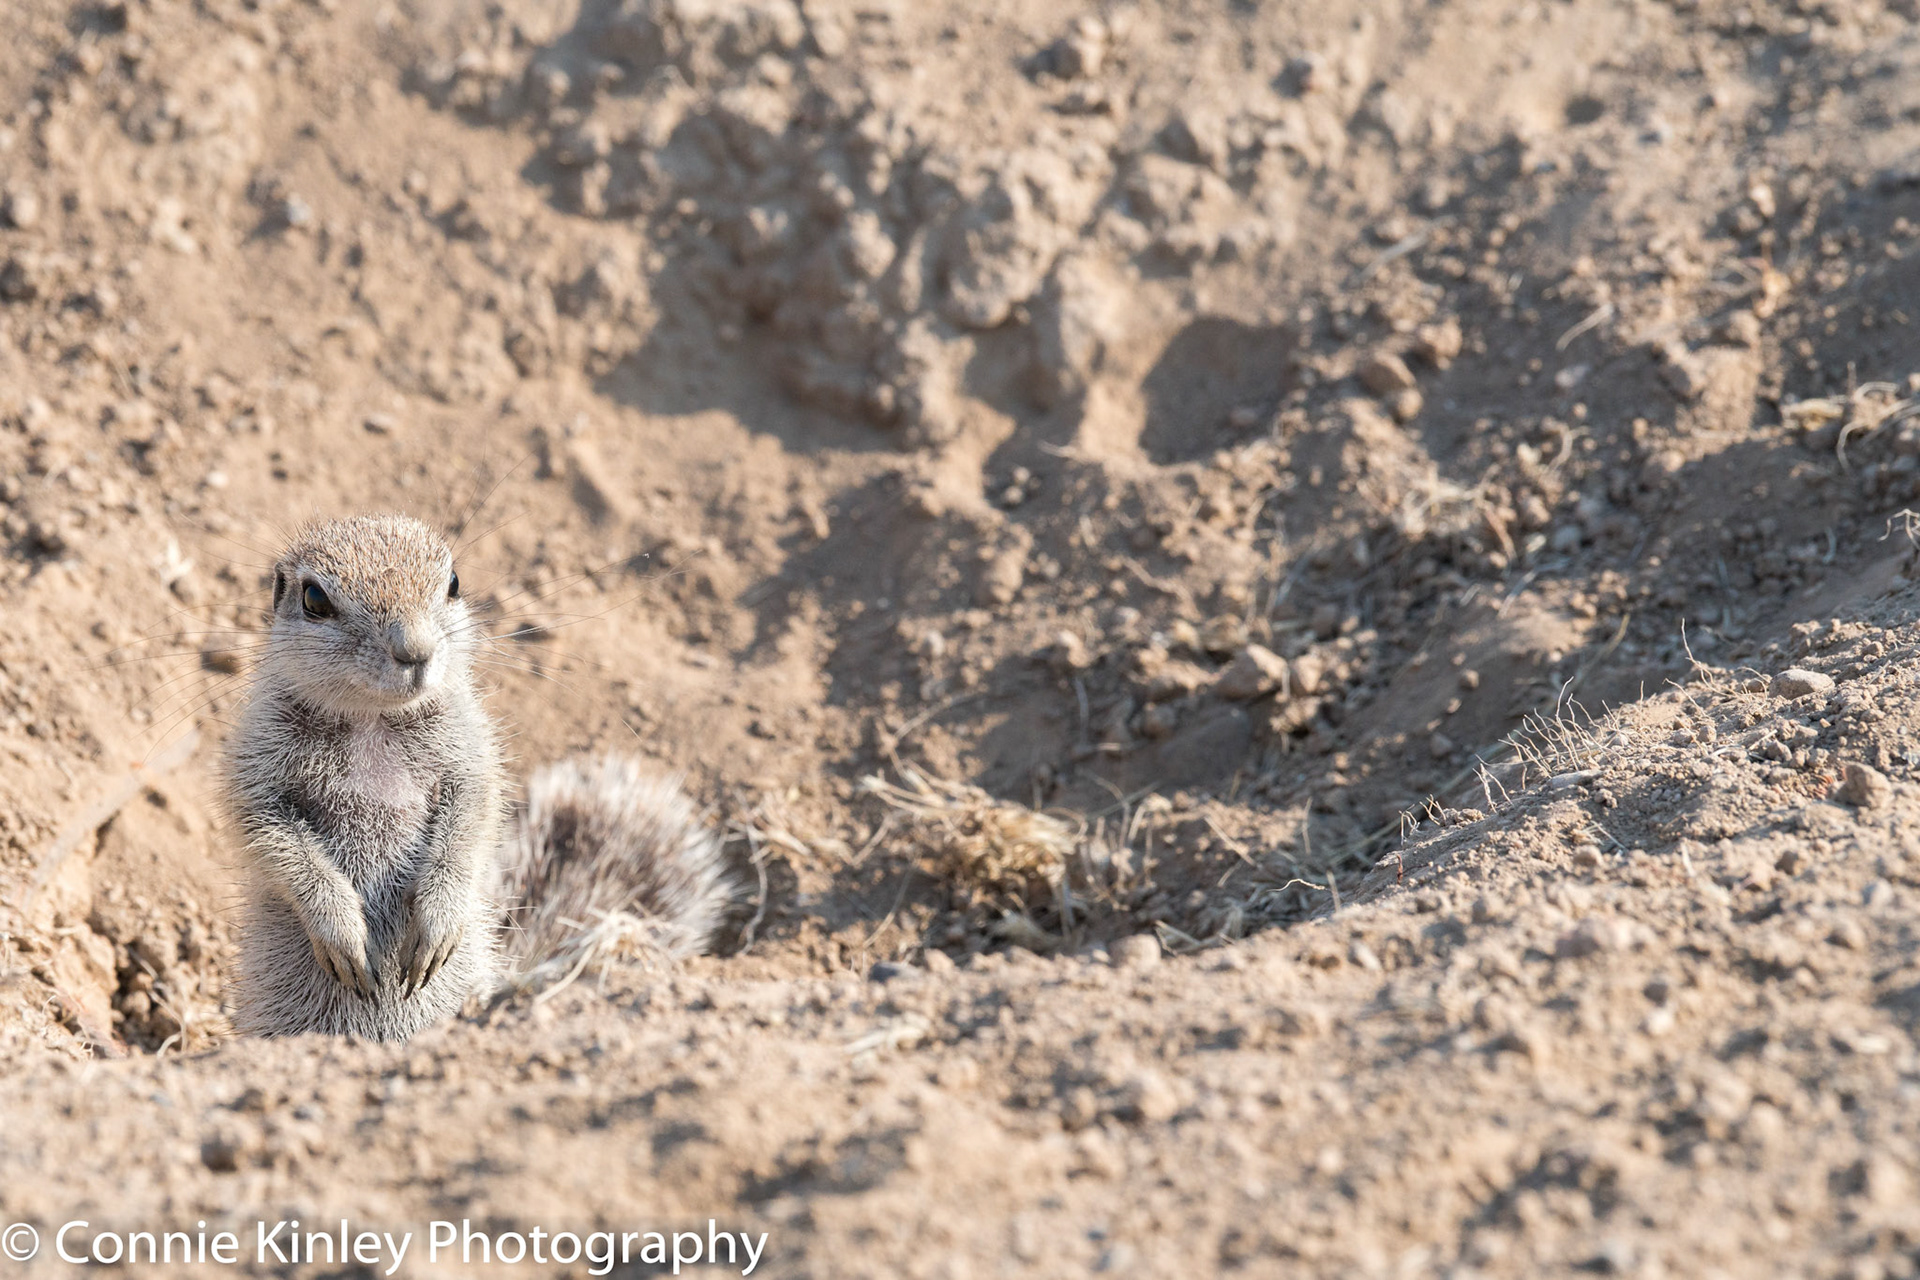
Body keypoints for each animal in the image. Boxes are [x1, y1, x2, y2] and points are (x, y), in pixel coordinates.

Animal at [223, 513, 736, 1040]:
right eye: (314, 599)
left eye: (453, 582)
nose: (415, 651)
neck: (373, 721)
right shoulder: (257, 769)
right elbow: (275, 842)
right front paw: (341, 930)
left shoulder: (472, 759)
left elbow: (473, 821)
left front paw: (439, 920)